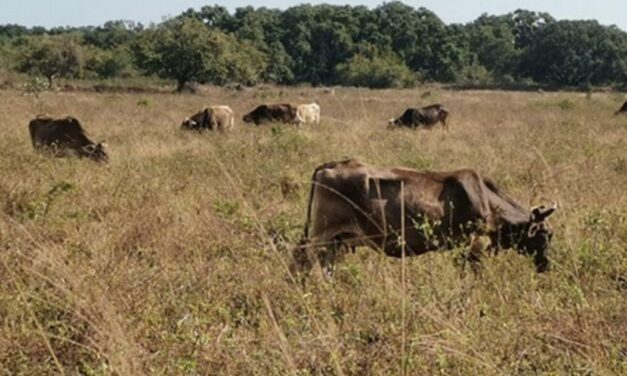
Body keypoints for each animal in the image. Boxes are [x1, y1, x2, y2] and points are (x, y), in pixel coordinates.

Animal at [292, 159, 556, 276]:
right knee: (301, 257)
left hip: (337, 240)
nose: (546, 265)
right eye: (546, 234)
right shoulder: (472, 244)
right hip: (322, 234)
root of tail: (330, 165)